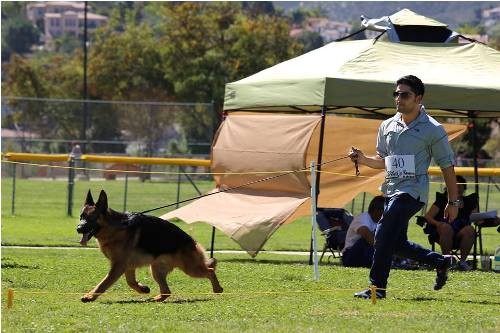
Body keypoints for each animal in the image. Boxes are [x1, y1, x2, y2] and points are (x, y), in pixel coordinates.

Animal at [76, 189, 223, 300]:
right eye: (81, 217)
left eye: (91, 218)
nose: (78, 229)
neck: (114, 228)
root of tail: (192, 241)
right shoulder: (127, 266)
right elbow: (130, 282)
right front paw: (143, 289)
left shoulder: (118, 266)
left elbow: (103, 283)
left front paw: (90, 296)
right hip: (156, 270)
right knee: (167, 291)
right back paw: (157, 298)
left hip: (190, 268)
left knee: (210, 271)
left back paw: (218, 289)